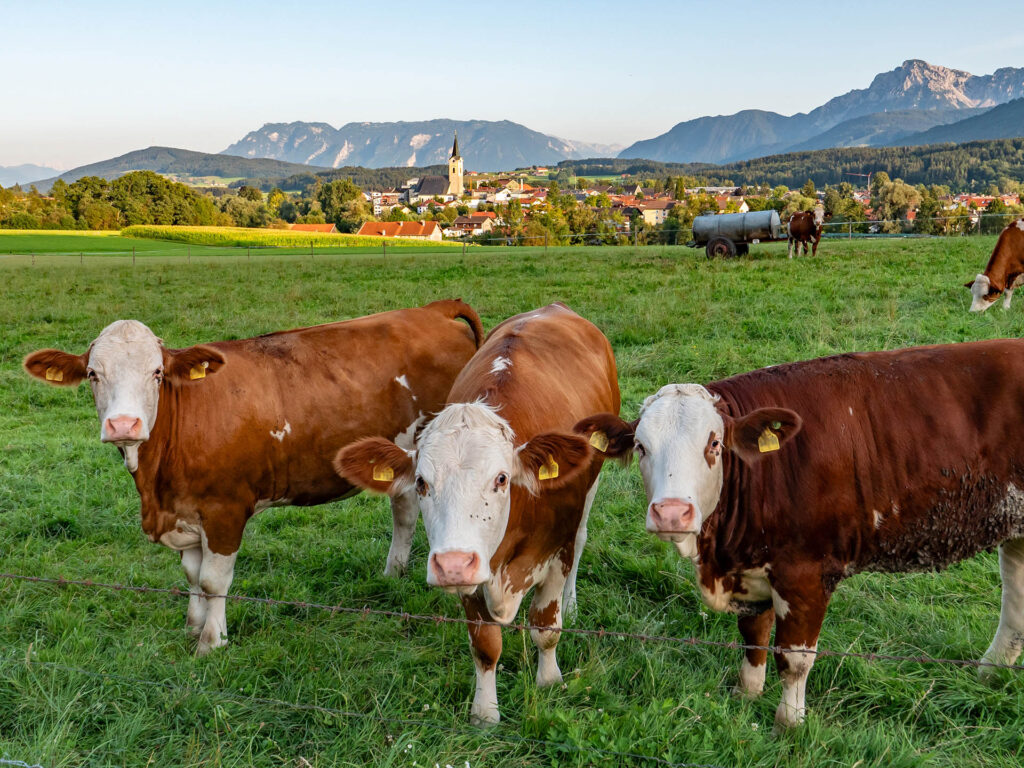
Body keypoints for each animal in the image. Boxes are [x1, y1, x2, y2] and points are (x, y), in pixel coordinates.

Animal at [23, 299, 483, 655]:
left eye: (156, 373)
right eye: (93, 374)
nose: (123, 425)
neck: (156, 486)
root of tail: (431, 310)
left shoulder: (225, 509)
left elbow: (214, 580)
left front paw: (212, 641)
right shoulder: (184, 511)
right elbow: (192, 575)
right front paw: (192, 627)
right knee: (403, 511)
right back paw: (392, 574)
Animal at [334, 303, 620, 724]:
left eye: (501, 478)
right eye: (421, 483)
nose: (453, 564)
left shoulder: (556, 551)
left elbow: (546, 627)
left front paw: (549, 681)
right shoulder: (473, 573)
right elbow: (485, 645)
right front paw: (485, 713)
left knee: (582, 537)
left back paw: (572, 602)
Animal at [575, 339, 1024, 729]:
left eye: (715, 444)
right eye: (641, 447)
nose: (671, 512)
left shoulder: (807, 572)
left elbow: (794, 659)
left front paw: (789, 723)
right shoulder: (751, 565)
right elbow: (753, 636)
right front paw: (746, 695)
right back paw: (990, 672)